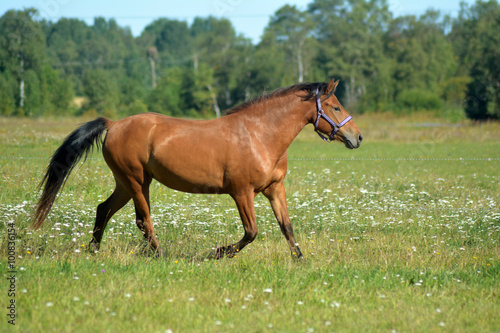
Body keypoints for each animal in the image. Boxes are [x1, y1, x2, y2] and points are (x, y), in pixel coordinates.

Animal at [33, 79, 364, 258]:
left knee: (104, 210)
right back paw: (159, 255)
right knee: (143, 220)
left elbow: (287, 227)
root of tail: (114, 124)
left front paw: (300, 261)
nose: (357, 137)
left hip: (127, 184)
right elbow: (251, 232)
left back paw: (94, 250)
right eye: (336, 107)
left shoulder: (273, 189)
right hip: (136, 181)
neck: (259, 135)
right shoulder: (242, 192)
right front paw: (217, 253)